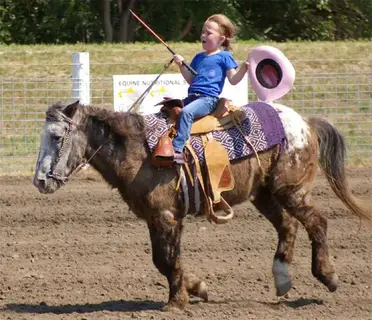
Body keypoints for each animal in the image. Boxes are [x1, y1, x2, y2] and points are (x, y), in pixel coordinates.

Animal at [33, 99, 370, 310]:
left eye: (57, 136)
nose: (39, 181)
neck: (136, 149)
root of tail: (305, 122)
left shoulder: (166, 216)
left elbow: (167, 259)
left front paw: (176, 302)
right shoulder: (157, 218)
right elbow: (162, 261)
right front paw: (195, 288)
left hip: (291, 190)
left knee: (316, 222)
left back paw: (327, 276)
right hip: (264, 194)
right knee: (288, 226)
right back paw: (282, 278)